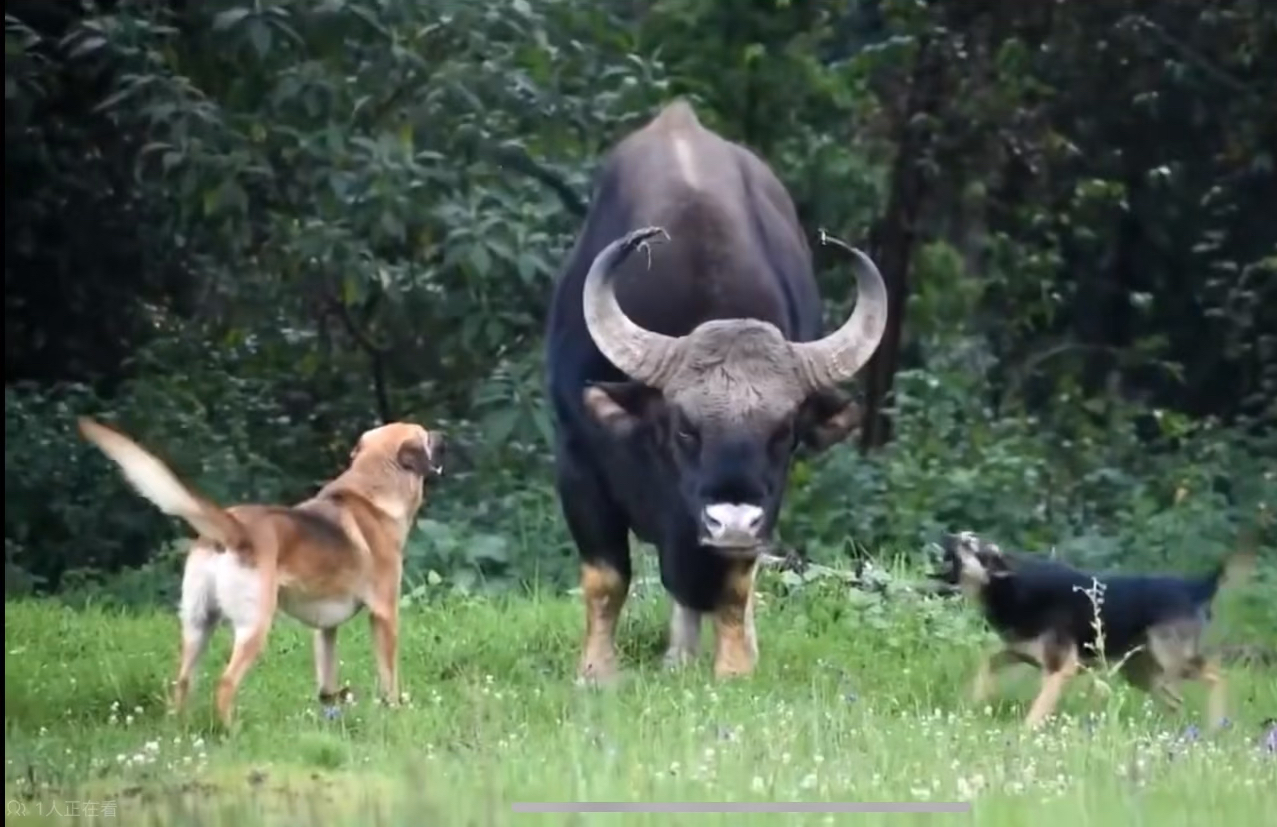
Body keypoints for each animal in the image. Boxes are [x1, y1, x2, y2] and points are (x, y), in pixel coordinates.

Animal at [77, 421, 444, 724]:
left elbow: (327, 683)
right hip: (254, 625)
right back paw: (229, 731)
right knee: (225, 683)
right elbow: (389, 675)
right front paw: (395, 710)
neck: (371, 491)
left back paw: (178, 730)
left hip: (197, 625)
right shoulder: (385, 614)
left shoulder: (325, 628)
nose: (444, 435)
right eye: (425, 435)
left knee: (182, 682)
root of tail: (232, 529)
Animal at [541, 100, 888, 684]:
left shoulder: (764, 498)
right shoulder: (577, 458)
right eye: (684, 428)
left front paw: (734, 667)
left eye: (784, 432)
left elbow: (734, 585)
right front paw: (596, 673)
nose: (732, 519)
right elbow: (606, 578)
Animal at [934, 533, 1251, 724]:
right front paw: (968, 704)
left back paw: (1216, 724)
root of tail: (1194, 586)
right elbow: (986, 666)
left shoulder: (1061, 668)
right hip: (1140, 672)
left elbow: (1038, 709)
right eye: (961, 536)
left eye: (969, 544)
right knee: (1176, 701)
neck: (1009, 586)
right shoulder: (1019, 652)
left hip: (1171, 660)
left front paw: (1025, 735)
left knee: (1217, 677)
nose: (946, 535)